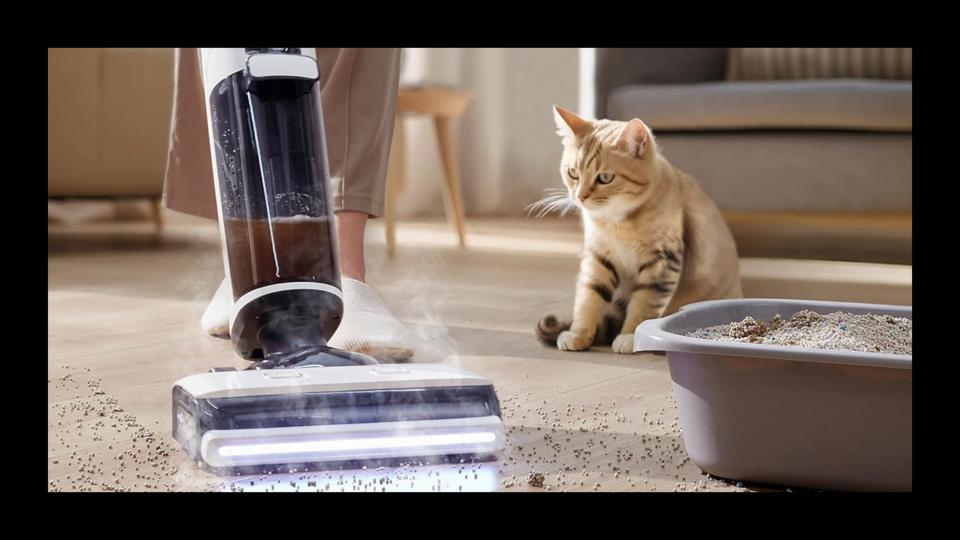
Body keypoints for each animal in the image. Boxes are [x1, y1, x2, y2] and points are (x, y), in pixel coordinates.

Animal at [532, 106, 744, 354]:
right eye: (573, 172)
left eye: (605, 178)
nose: (580, 197)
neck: (616, 223)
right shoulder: (598, 256)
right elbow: (589, 297)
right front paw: (578, 333)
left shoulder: (662, 262)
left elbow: (645, 302)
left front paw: (631, 336)